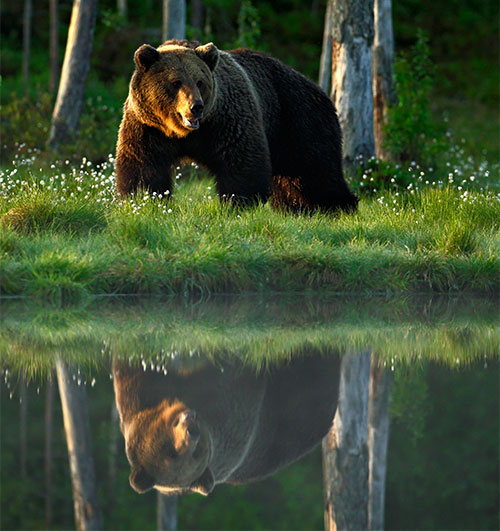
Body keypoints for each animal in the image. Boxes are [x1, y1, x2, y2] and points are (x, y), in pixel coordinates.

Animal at [116, 39, 360, 212]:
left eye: (200, 82)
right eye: (176, 82)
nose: (196, 107)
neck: (183, 133)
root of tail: (319, 89)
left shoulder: (227, 120)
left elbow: (241, 161)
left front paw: (240, 202)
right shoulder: (147, 127)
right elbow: (143, 165)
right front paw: (144, 199)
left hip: (298, 119)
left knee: (316, 171)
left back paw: (339, 206)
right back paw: (296, 208)